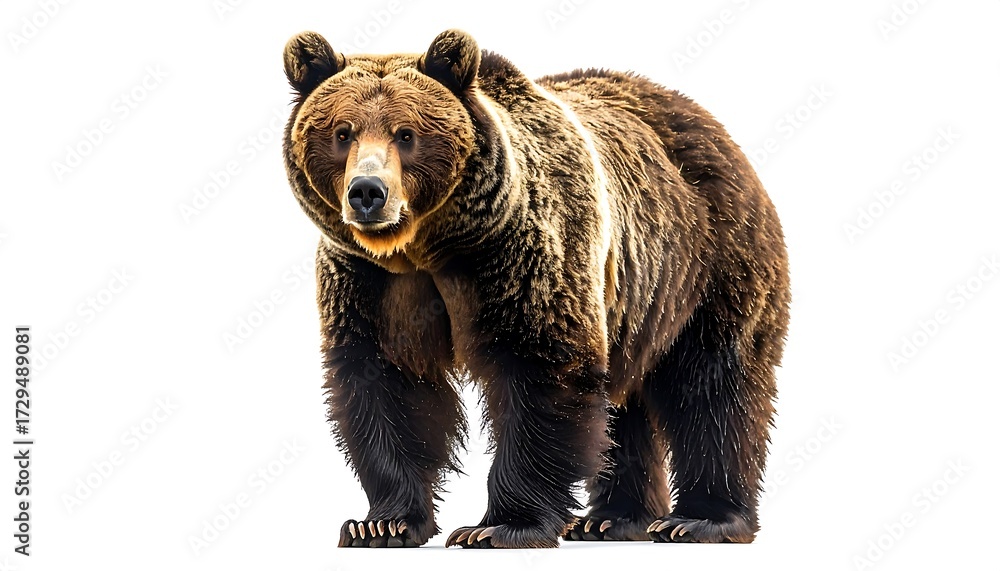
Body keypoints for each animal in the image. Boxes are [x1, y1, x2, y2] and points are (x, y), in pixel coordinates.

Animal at [281, 28, 790, 548]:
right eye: (342, 132)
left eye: (407, 134)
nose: (367, 192)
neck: (428, 248)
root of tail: (705, 119)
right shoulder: (371, 282)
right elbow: (386, 381)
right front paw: (381, 522)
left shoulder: (523, 254)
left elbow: (543, 368)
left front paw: (499, 526)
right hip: (633, 304)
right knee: (621, 404)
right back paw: (612, 518)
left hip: (709, 261)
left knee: (715, 384)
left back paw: (701, 519)